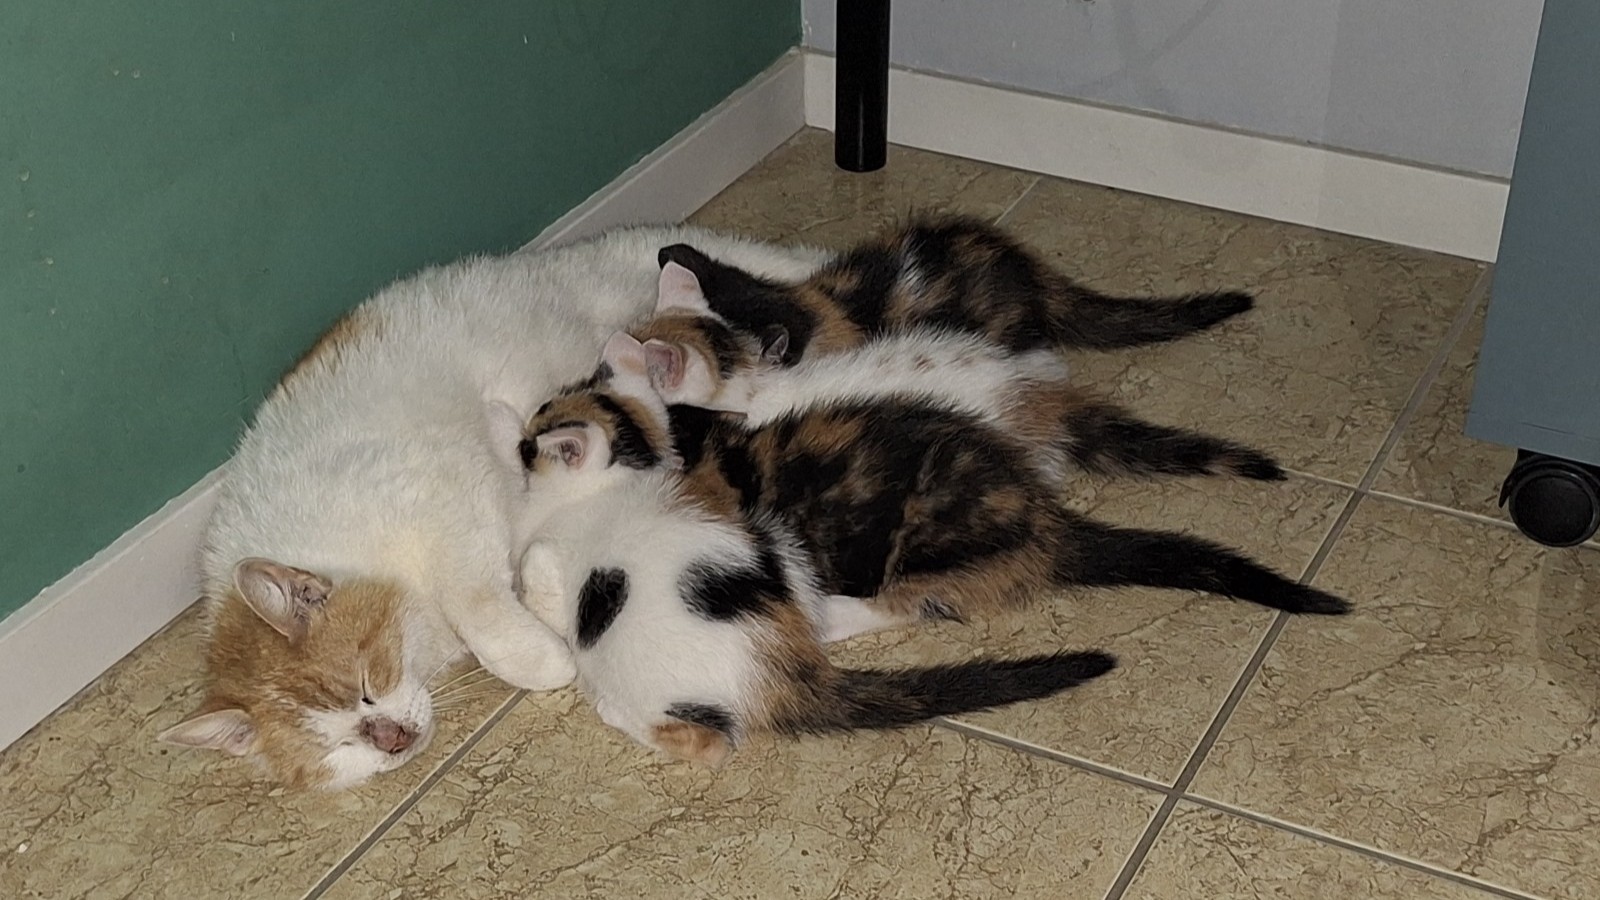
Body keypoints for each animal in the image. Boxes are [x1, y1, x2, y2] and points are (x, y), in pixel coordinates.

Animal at [157, 225, 834, 790]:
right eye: (339, 748)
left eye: (365, 686)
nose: (393, 741)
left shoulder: (447, 498)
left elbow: (479, 606)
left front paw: (542, 654)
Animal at [494, 334, 1116, 766]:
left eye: (535, 437)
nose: (525, 432)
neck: (614, 480)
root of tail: (791, 673)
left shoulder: (551, 556)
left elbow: (535, 571)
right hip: (781, 552)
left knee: (709, 745)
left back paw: (614, 709)